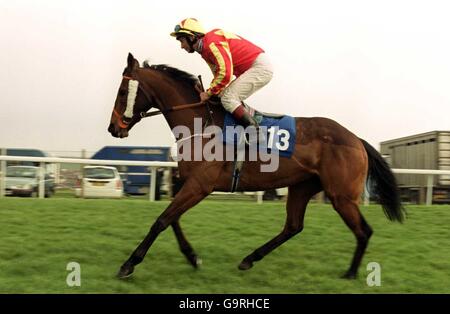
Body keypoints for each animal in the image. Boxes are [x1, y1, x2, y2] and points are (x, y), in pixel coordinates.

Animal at [109, 53, 404, 280]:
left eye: (123, 92)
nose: (113, 128)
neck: (200, 122)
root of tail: (356, 139)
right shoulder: (188, 184)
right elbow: (172, 219)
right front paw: (192, 257)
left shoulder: (199, 185)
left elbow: (162, 220)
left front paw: (129, 264)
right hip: (302, 186)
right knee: (293, 226)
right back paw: (249, 259)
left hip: (341, 195)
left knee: (363, 231)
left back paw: (351, 273)